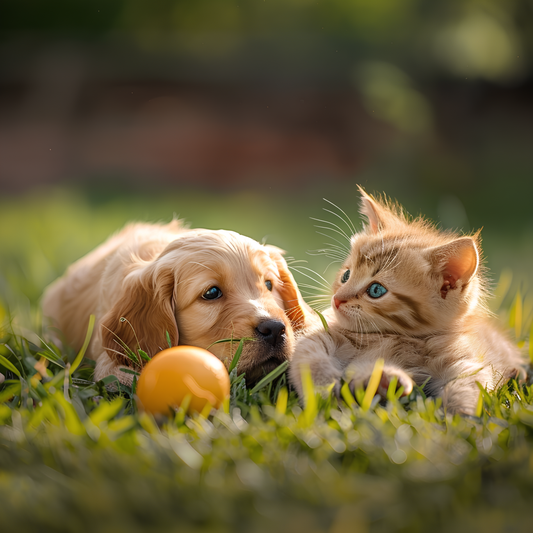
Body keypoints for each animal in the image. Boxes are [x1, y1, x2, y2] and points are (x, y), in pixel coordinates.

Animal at [286, 188, 524, 416]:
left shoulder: (463, 360)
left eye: (376, 290)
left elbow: (469, 384)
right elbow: (310, 356)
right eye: (346, 276)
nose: (337, 299)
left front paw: (460, 417)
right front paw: (323, 391)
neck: (392, 336)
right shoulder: (321, 335)